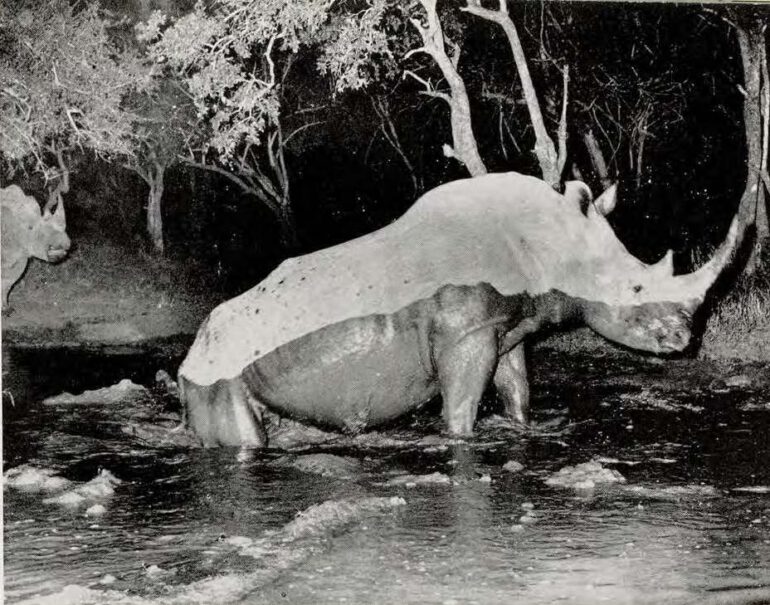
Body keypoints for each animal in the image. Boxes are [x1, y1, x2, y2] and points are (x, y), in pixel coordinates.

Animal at [178, 172, 748, 447]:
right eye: (634, 287)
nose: (685, 340)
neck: (551, 240)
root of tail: (192, 350)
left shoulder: (507, 327)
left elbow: (517, 388)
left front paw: (522, 428)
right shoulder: (466, 332)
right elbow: (462, 407)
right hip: (216, 372)